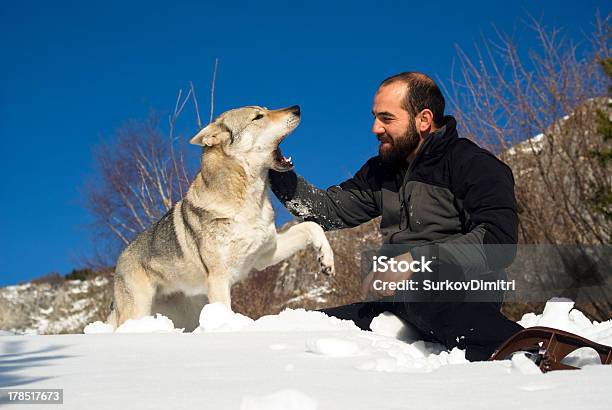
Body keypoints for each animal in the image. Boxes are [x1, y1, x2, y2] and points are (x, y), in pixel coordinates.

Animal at [106, 105, 334, 330]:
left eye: (266, 109)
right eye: (258, 116)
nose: (297, 108)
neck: (248, 202)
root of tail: (120, 260)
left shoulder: (266, 255)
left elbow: (312, 226)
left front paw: (326, 259)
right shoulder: (219, 278)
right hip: (138, 311)